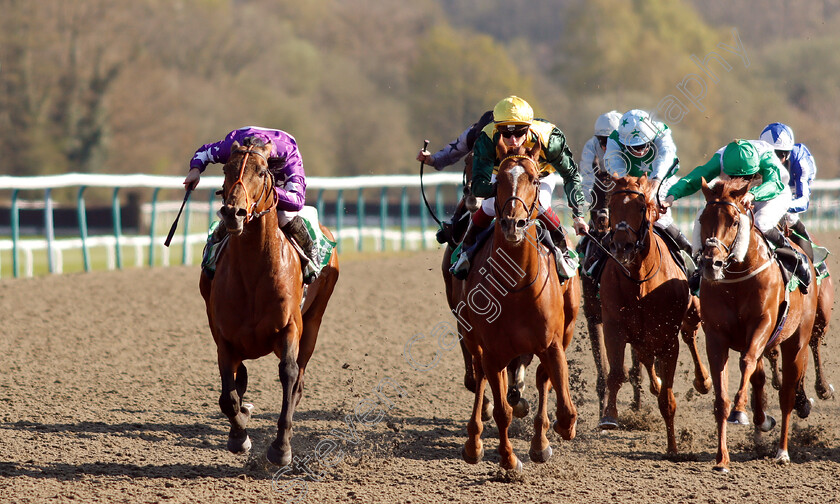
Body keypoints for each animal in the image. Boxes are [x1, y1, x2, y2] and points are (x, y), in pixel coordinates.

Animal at [199, 140, 340, 466]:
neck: (253, 273)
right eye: (225, 169)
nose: (233, 213)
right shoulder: (223, 336)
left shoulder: (290, 328)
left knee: (299, 379)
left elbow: (288, 374)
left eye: (262, 172)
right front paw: (239, 436)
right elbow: (227, 396)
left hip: (314, 321)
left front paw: (281, 447)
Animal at [450, 137, 580, 472]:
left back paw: (540, 440)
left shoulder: (552, 343)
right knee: (480, 377)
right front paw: (508, 459)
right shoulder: (492, 351)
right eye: (498, 182)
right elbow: (501, 411)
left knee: (542, 379)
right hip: (472, 337)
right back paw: (474, 442)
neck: (516, 286)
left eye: (534, 179)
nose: (514, 224)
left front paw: (554, 432)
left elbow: (563, 406)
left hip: (568, 327)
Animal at [596, 175, 708, 454]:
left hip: (691, 313)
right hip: (640, 334)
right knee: (646, 357)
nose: (622, 246)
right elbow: (617, 373)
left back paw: (703, 381)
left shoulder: (668, 339)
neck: (639, 281)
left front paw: (673, 448)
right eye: (611, 206)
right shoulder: (614, 328)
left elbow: (668, 397)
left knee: (690, 337)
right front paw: (609, 417)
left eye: (640, 207)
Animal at [696, 178, 820, 472]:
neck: (736, 281)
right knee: (761, 379)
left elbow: (747, 362)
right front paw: (722, 458)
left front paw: (740, 410)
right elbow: (721, 399)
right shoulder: (715, 337)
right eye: (703, 218)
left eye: (733, 222)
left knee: (786, 394)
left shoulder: (762, 325)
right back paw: (763, 421)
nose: (710, 264)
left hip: (796, 342)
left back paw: (782, 451)